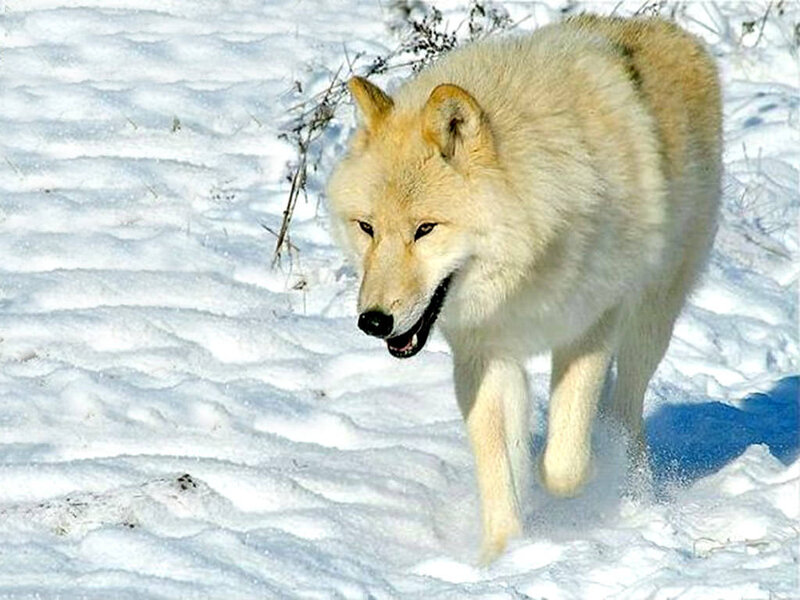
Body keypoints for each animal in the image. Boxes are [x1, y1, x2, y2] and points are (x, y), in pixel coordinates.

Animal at [327, 15, 721, 561]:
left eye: (425, 229)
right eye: (367, 228)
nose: (373, 321)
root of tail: (667, 28)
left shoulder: (591, 327)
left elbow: (563, 466)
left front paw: (562, 478)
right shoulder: (485, 353)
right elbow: (499, 469)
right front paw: (502, 558)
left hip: (652, 316)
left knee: (625, 405)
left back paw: (625, 473)